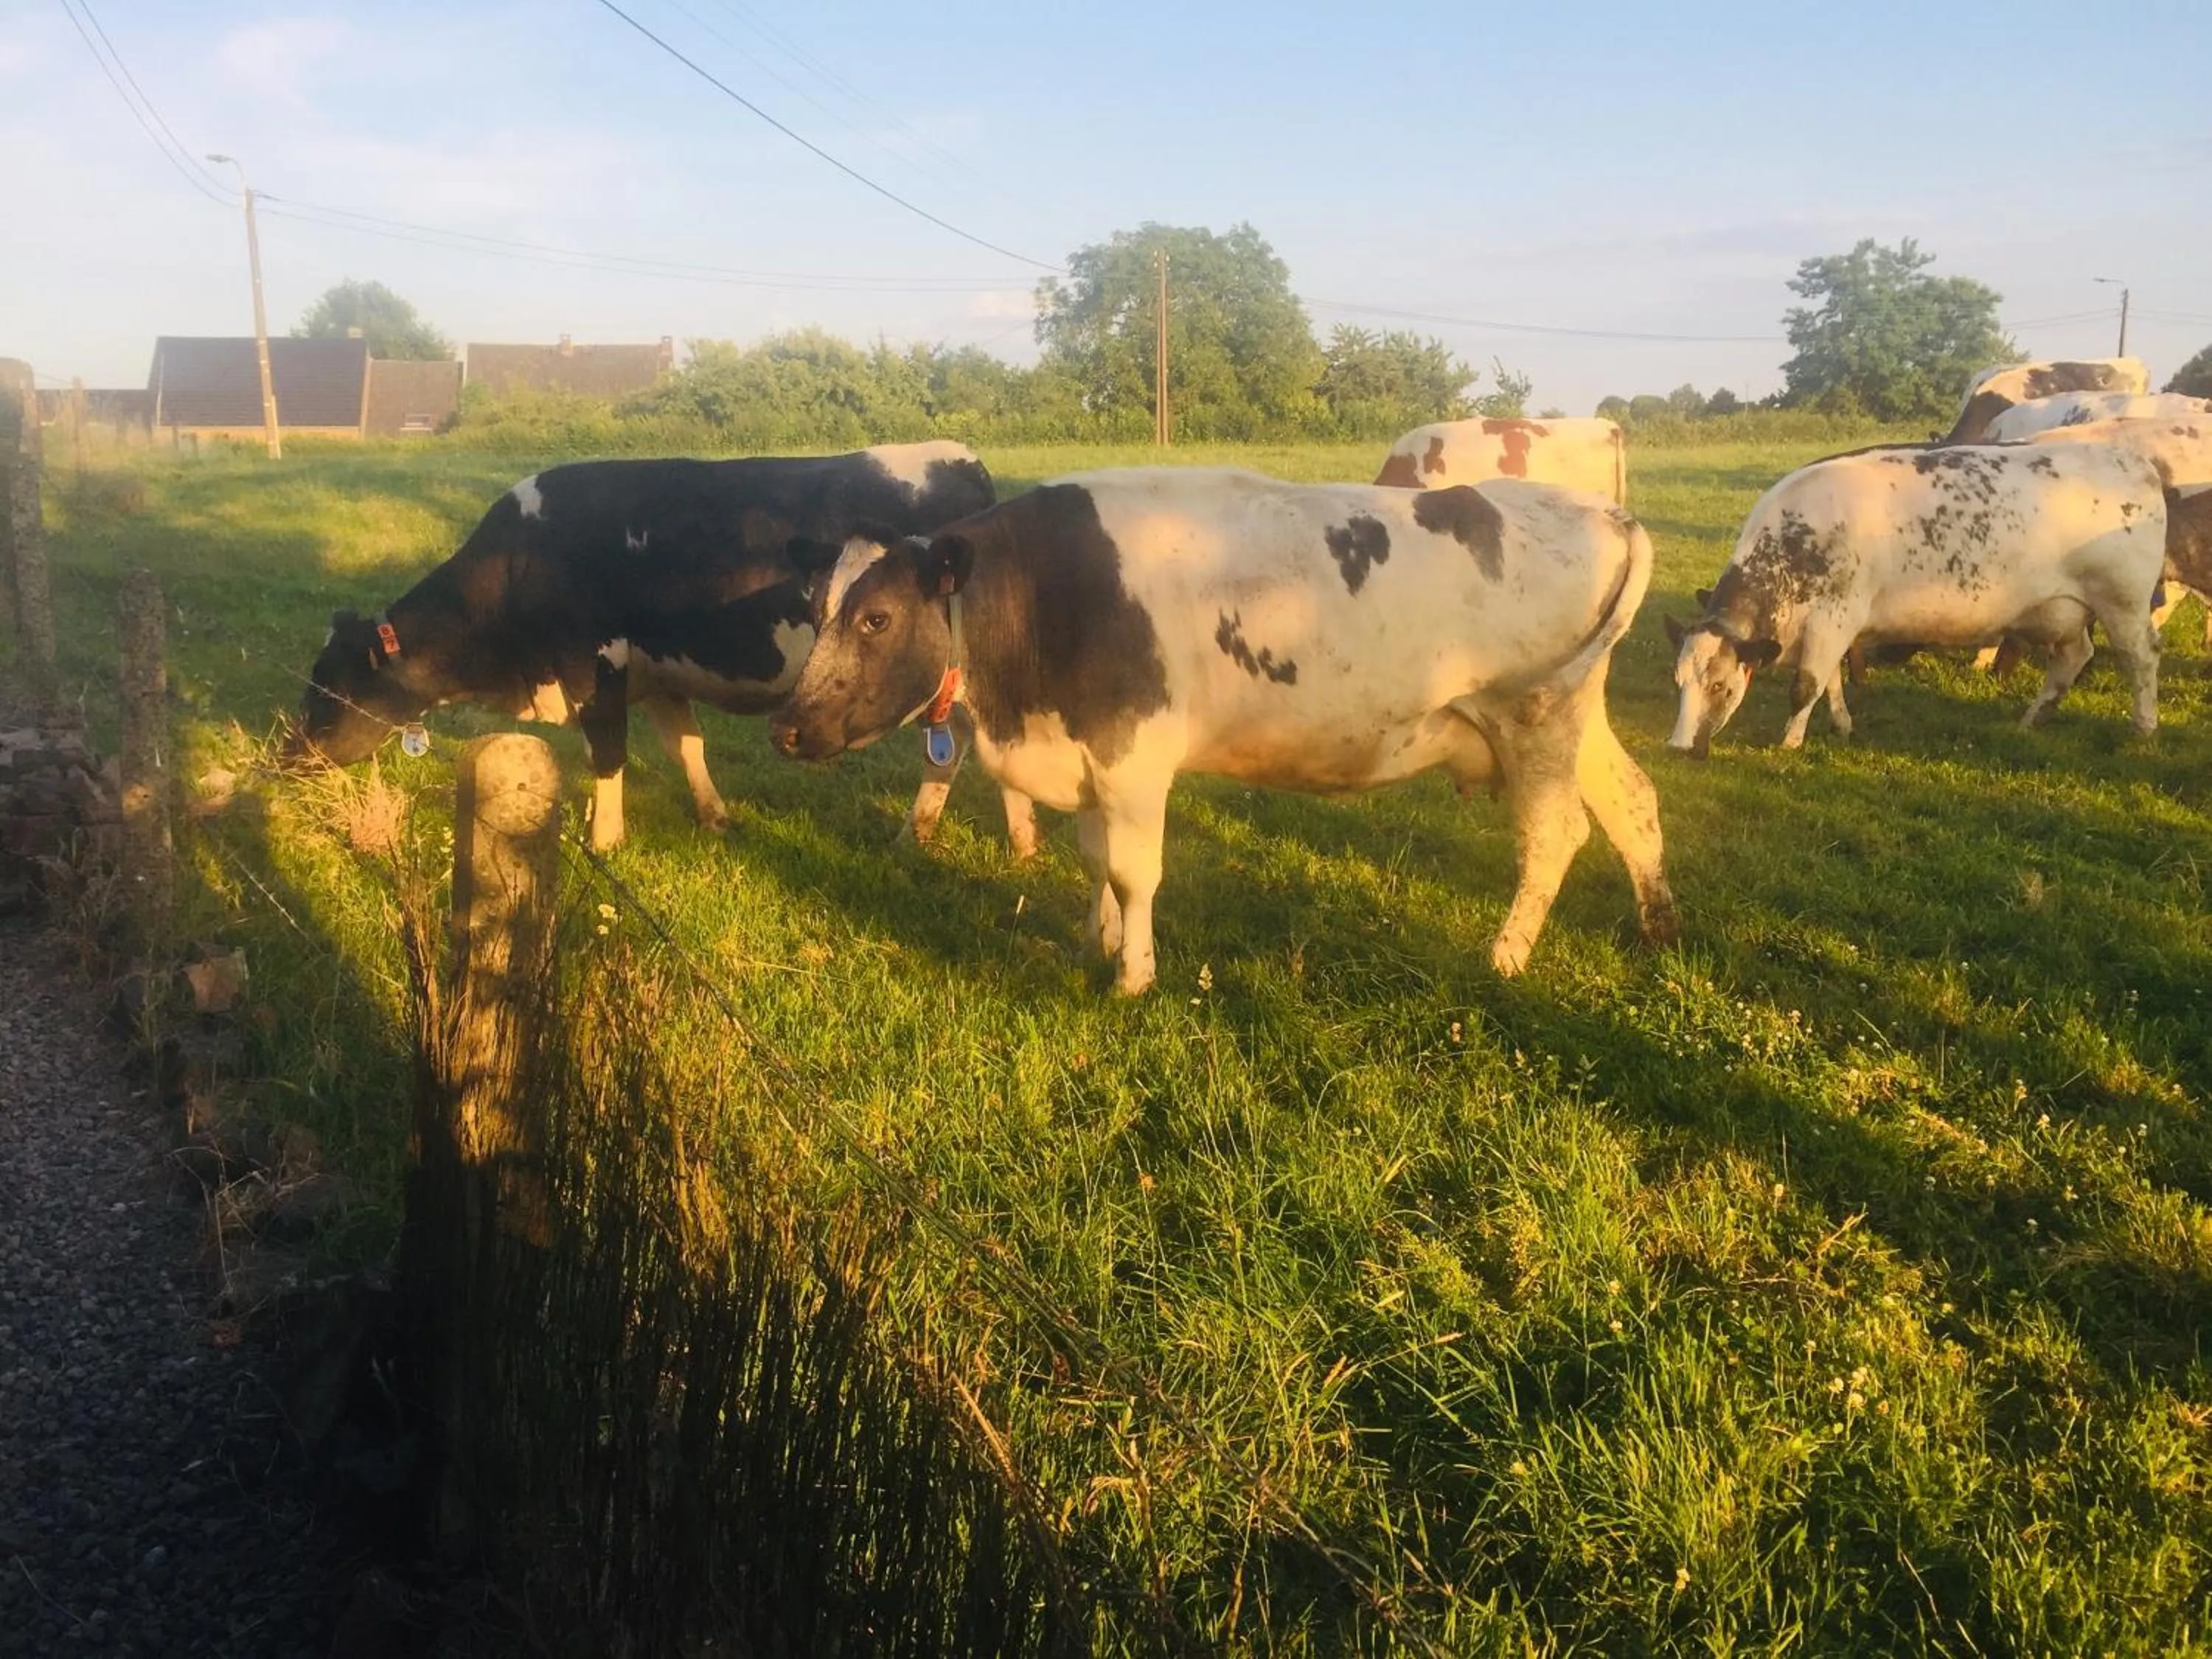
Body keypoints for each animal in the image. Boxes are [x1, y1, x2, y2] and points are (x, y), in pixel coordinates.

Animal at [291, 441, 1037, 853]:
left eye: (330, 691)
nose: (288, 760)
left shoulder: (596, 666)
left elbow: (608, 756)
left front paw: (605, 839)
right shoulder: (658, 674)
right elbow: (687, 747)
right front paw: (715, 817)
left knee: (952, 748)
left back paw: (917, 834)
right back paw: (1020, 845)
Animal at [770, 468, 1678, 993]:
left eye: (877, 618)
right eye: (818, 608)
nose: (787, 728)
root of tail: (1605, 510)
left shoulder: (1134, 758)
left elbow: (1134, 873)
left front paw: (1133, 977)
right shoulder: (1091, 756)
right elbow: (1095, 861)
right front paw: (1094, 940)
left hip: (1536, 716)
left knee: (1556, 835)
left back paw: (1506, 957)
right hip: (1574, 719)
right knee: (1633, 801)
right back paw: (1657, 928)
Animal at [1665, 444, 2167, 756]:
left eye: (1719, 686)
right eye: (1679, 682)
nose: (1679, 747)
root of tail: (2131, 460)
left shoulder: (1835, 618)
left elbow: (1805, 686)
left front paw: (1789, 742)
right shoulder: (1829, 628)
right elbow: (1831, 682)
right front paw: (1842, 724)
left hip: (2123, 602)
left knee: (2141, 658)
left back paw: (2143, 727)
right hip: (2060, 611)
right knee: (2074, 657)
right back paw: (2034, 718)